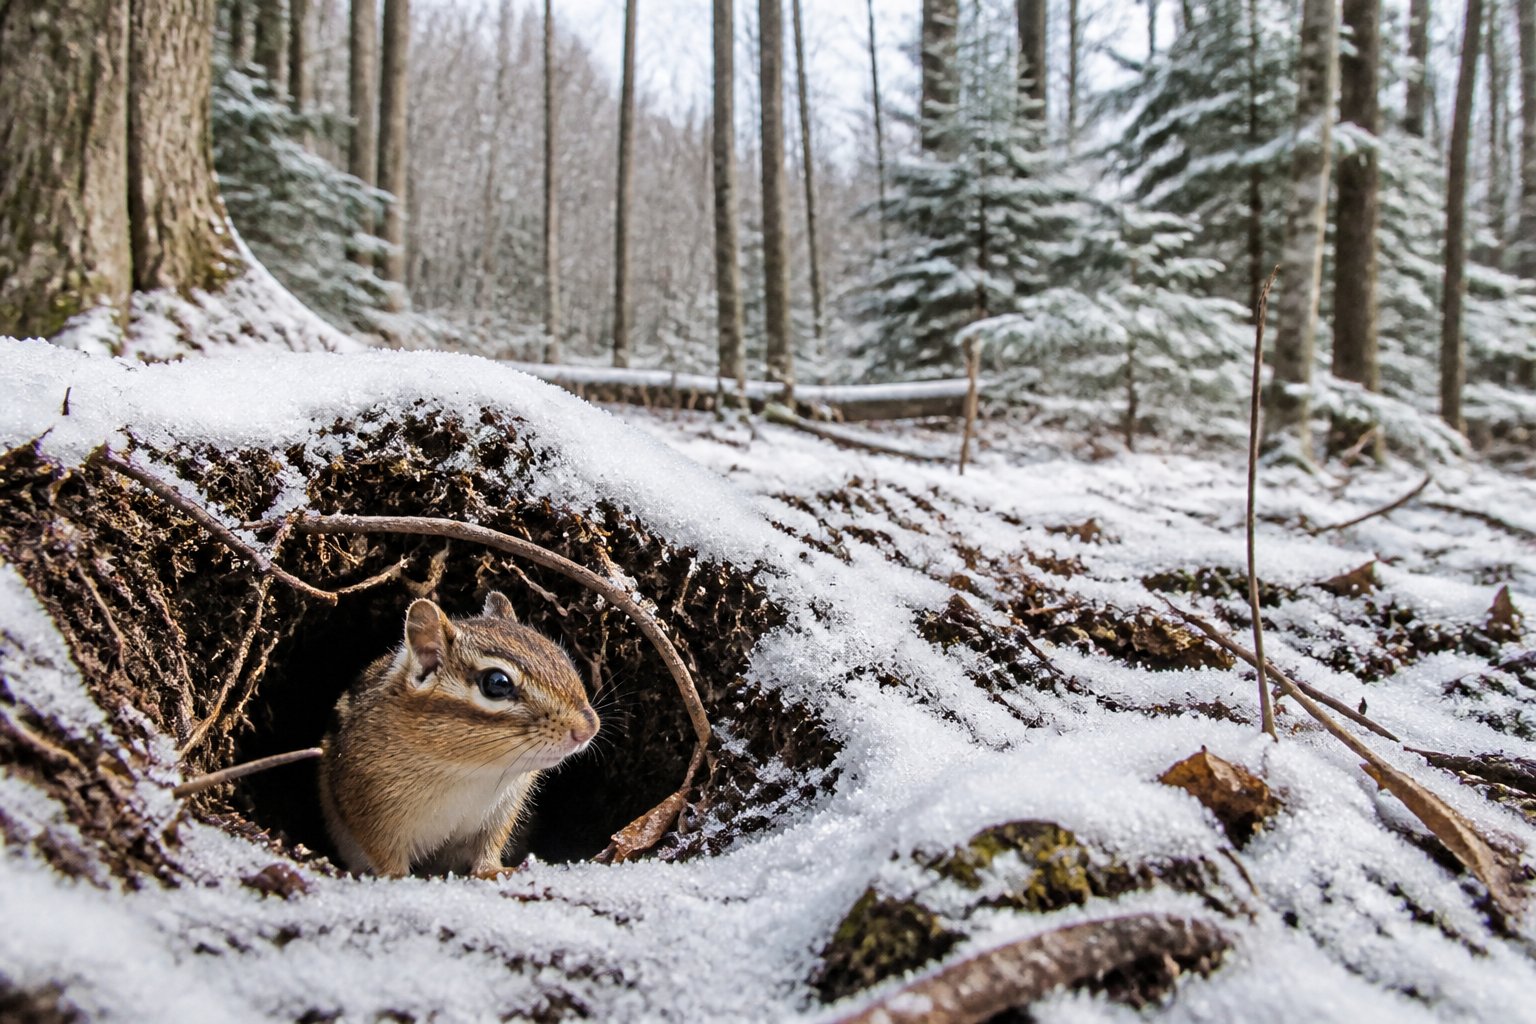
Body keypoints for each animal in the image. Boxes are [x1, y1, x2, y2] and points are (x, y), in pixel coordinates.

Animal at [317, 591, 599, 878]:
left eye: (561, 655)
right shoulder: (371, 815)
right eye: (497, 683)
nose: (588, 728)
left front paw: (493, 870)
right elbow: (386, 859)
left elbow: (488, 847)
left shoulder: (501, 812)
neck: (468, 772)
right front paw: (398, 879)